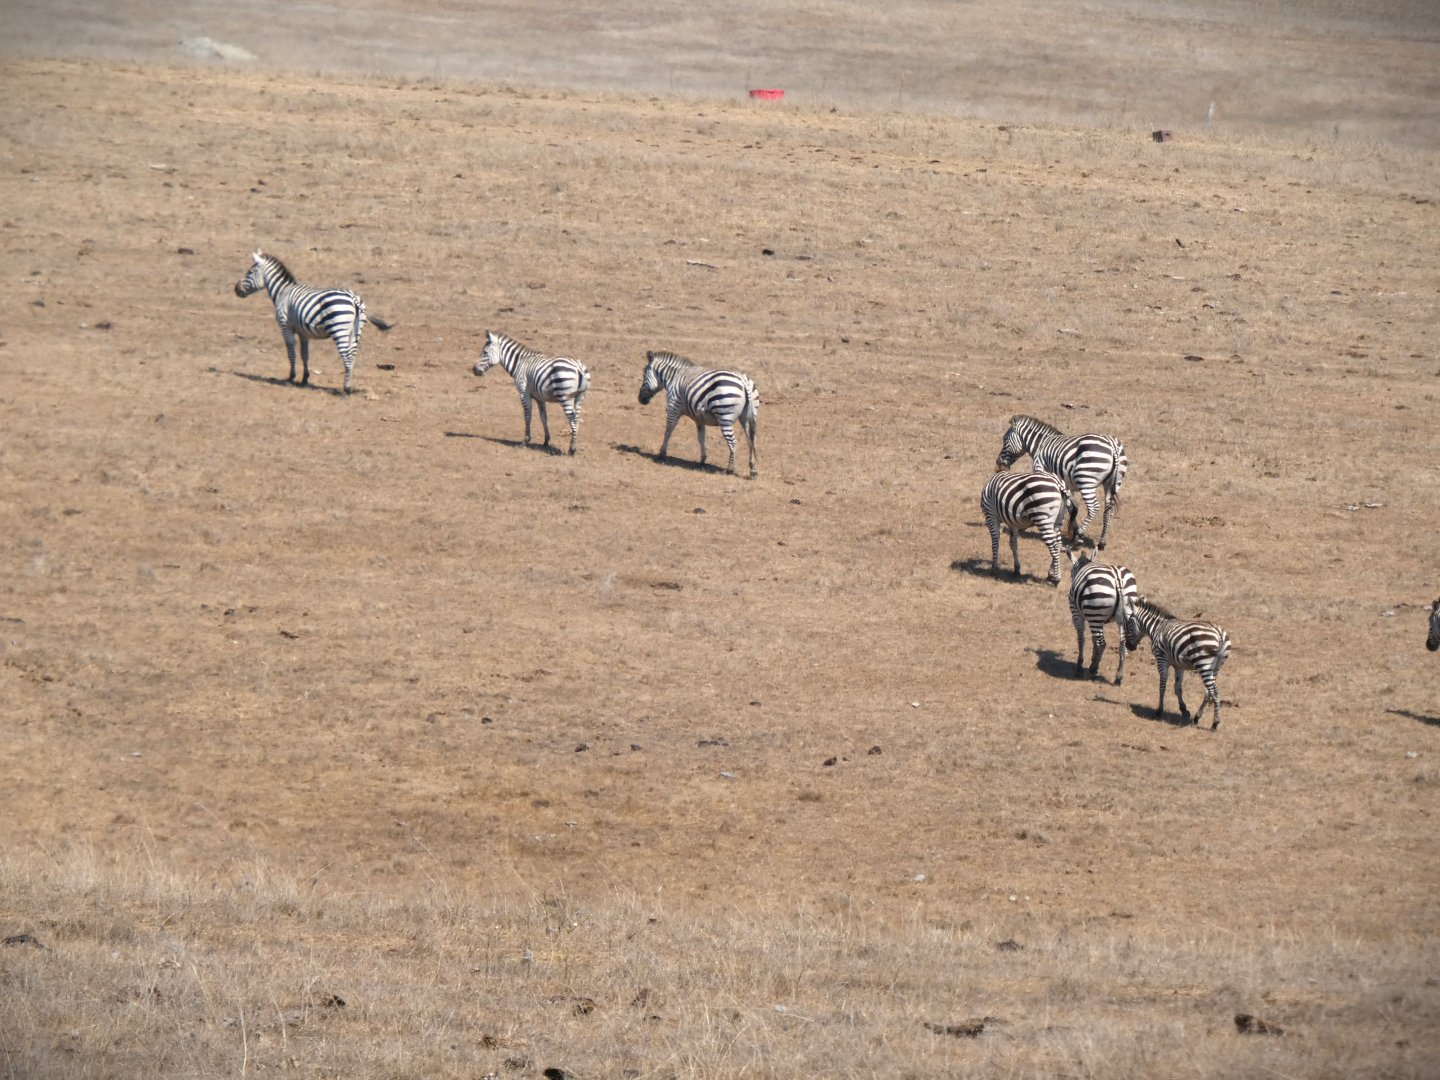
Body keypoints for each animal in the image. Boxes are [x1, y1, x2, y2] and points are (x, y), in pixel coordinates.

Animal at [234, 250, 391, 395]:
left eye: (249, 272)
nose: (236, 289)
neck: (282, 292)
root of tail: (353, 298)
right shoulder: (303, 332)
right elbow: (305, 355)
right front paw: (305, 379)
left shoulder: (286, 326)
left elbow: (291, 352)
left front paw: (291, 378)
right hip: (356, 330)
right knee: (353, 355)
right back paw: (349, 386)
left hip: (339, 329)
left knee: (347, 356)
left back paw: (345, 389)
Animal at [637, 350, 759, 478]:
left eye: (644, 376)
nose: (640, 399)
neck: (674, 377)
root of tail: (743, 380)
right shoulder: (700, 418)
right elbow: (701, 438)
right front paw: (702, 460)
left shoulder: (673, 407)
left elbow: (668, 430)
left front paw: (662, 453)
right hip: (747, 417)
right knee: (752, 441)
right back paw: (753, 470)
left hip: (724, 417)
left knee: (733, 442)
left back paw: (730, 469)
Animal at [995, 414, 1128, 550]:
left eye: (1004, 439)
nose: (998, 467)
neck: (1040, 445)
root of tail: (1112, 445)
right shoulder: (1065, 483)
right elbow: (1070, 506)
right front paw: (1071, 530)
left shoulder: (1040, 469)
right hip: (1113, 482)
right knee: (1109, 510)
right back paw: (1101, 542)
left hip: (1085, 479)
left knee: (1093, 507)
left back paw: (1078, 538)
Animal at [1067, 552, 1142, 684]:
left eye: (1072, 572)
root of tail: (1118, 579)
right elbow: (1093, 640)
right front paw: (1093, 660)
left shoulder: (1076, 613)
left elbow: (1081, 638)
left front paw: (1080, 666)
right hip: (1124, 617)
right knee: (1122, 644)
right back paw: (1118, 676)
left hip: (1095, 614)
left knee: (1101, 643)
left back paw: (1093, 671)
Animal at [1129, 596, 1232, 730]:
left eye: (1128, 622)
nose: (1129, 646)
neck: (1157, 628)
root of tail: (1219, 633)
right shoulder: (1178, 665)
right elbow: (1177, 688)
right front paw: (1184, 710)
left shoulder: (1162, 659)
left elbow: (1162, 686)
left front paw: (1159, 711)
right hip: (1216, 666)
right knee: (1208, 692)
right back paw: (1197, 717)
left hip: (1203, 664)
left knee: (1214, 692)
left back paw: (1215, 723)